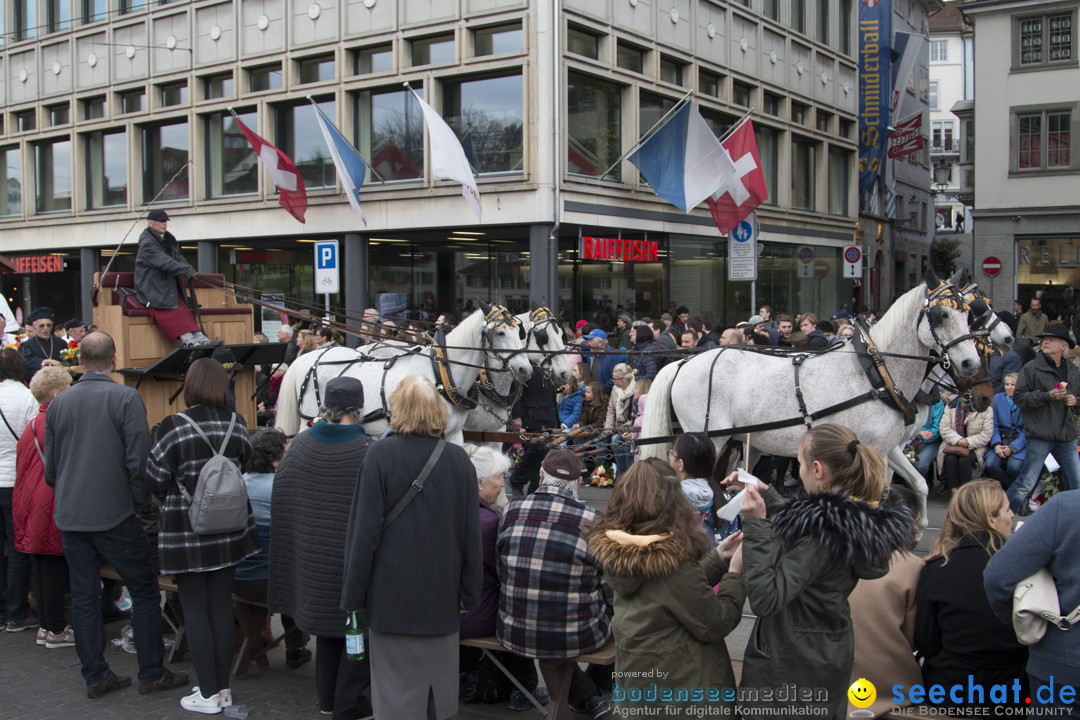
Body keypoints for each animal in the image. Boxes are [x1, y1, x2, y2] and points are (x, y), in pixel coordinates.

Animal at [276, 304, 533, 444]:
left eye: (518, 331)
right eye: (500, 332)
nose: (525, 369)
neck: (442, 374)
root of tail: (309, 357)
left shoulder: (454, 434)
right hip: (308, 421)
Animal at [639, 269, 989, 524]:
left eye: (968, 314)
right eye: (941, 314)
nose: (970, 364)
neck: (874, 373)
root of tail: (684, 363)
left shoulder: (886, 449)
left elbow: (903, 488)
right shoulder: (875, 450)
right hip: (710, 437)